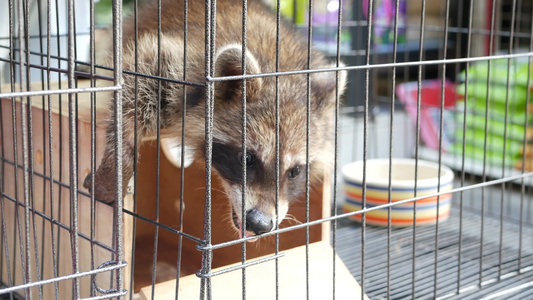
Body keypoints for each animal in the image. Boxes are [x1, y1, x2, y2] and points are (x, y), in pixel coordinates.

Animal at [84, 0, 344, 239]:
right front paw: (116, 166)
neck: (280, 70)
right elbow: (135, 82)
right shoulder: (179, 67)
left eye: (295, 171)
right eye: (247, 158)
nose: (260, 224)